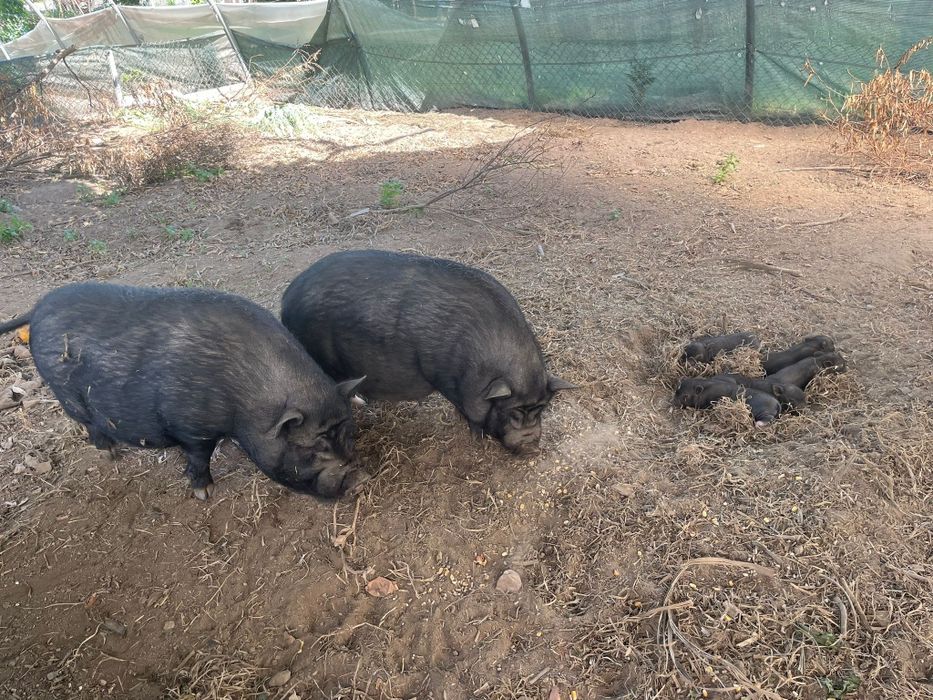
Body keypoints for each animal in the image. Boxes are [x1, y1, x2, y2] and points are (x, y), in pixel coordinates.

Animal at [0, 283, 366, 500]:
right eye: (311, 450)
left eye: (348, 434)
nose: (354, 475)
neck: (245, 405)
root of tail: (39, 307)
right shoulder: (193, 427)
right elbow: (199, 456)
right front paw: (204, 493)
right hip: (66, 393)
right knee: (89, 423)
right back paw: (110, 453)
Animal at [280, 250, 576, 454]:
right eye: (511, 412)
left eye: (541, 409)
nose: (530, 446)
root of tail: (286, 298)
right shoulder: (446, 379)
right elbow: (467, 411)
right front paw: (476, 437)